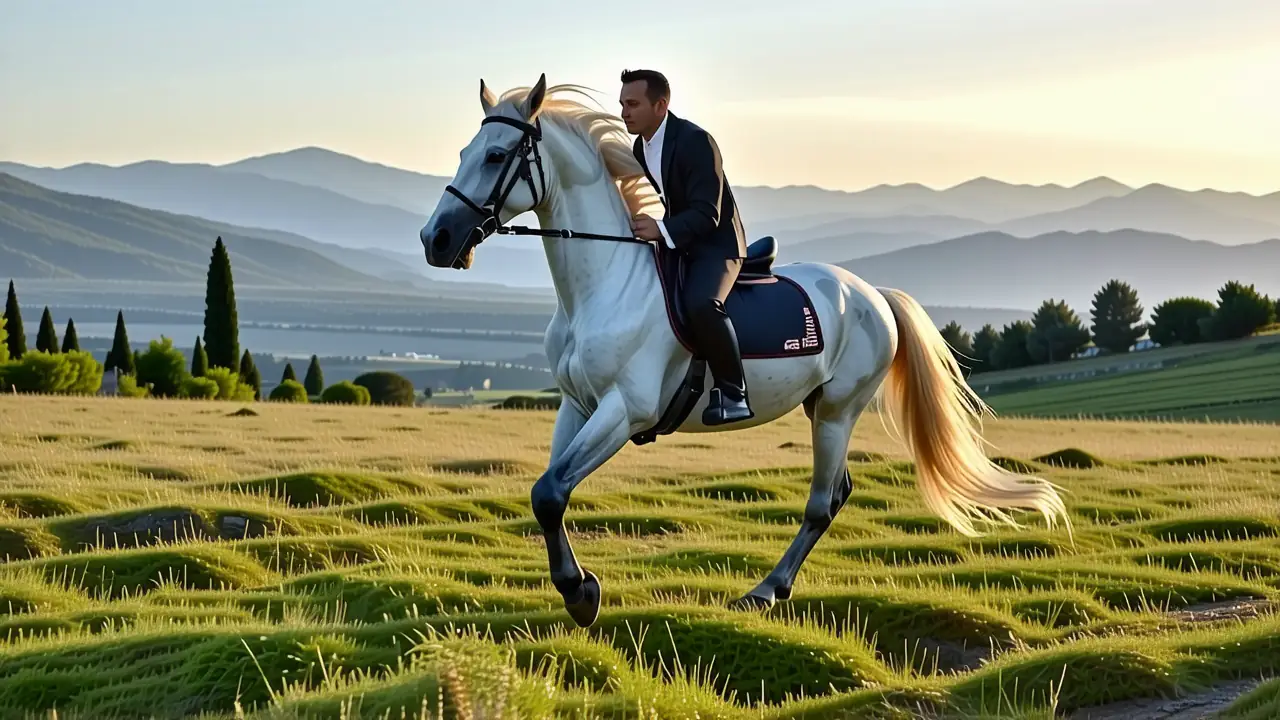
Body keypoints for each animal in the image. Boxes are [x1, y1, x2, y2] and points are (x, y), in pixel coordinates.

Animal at [418, 73, 1070, 628]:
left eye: (496, 157)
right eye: (464, 153)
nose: (436, 239)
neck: (605, 284)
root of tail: (870, 294)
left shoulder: (624, 410)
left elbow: (551, 491)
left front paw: (581, 593)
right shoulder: (577, 407)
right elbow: (547, 492)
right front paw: (577, 591)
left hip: (839, 409)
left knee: (821, 503)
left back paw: (765, 590)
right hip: (819, 407)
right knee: (837, 492)